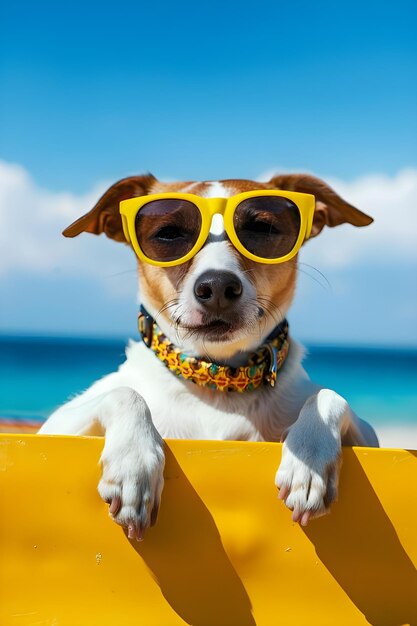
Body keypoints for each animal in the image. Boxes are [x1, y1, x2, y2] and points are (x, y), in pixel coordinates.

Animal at [38, 171, 376, 536]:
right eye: (169, 233)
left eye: (262, 228)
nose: (216, 286)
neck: (218, 380)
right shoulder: (53, 429)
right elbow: (125, 393)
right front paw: (133, 462)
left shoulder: (370, 439)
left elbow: (328, 395)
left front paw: (309, 456)